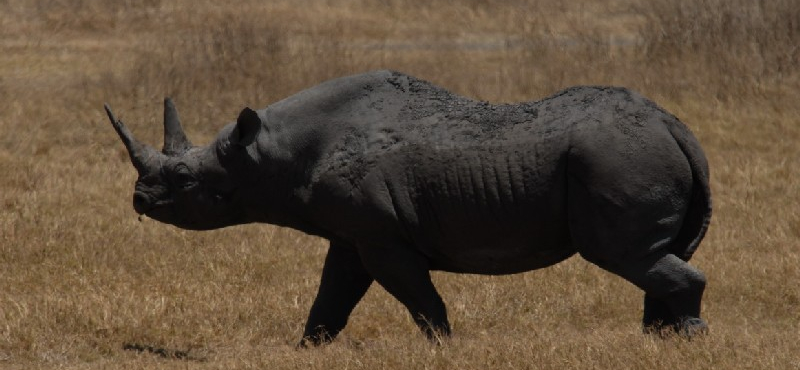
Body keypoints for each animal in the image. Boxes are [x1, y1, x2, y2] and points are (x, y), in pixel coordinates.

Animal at [103, 70, 708, 346]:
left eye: (184, 179)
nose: (139, 200)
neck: (267, 152)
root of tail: (675, 126)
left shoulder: (383, 237)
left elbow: (420, 299)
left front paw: (445, 347)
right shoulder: (351, 235)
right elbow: (331, 297)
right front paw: (307, 348)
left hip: (619, 157)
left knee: (625, 256)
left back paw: (688, 341)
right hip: (631, 153)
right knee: (651, 257)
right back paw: (660, 343)